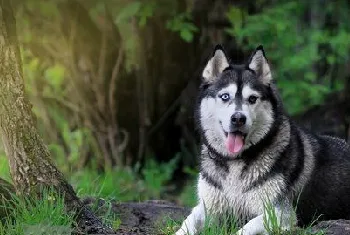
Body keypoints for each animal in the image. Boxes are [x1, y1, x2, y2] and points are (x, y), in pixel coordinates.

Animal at [175, 45, 350, 234]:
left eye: (252, 98)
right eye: (225, 96)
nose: (238, 118)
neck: (234, 163)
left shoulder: (281, 213)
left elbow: (246, 228)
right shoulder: (208, 207)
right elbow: (187, 223)